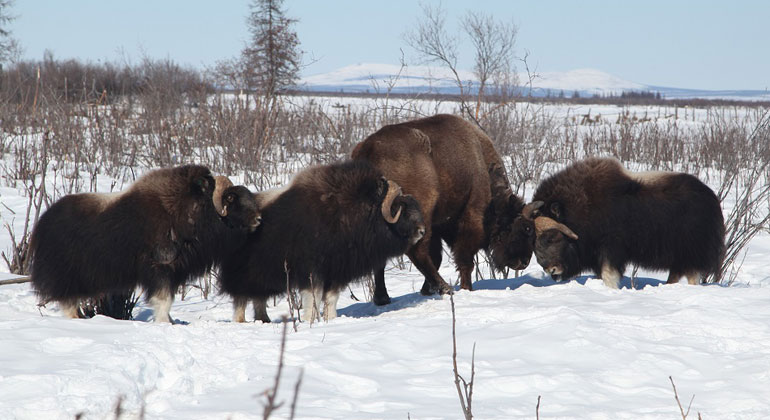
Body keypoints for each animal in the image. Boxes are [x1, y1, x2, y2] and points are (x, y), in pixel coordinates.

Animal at [30, 165, 260, 322]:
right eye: (231, 199)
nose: (258, 219)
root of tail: (42, 224)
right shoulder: (160, 266)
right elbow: (163, 299)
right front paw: (164, 322)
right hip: (66, 276)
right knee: (67, 301)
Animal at [352, 113, 536, 304]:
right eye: (524, 228)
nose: (524, 261)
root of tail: (370, 150)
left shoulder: (437, 227)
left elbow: (438, 257)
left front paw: (426, 290)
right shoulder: (470, 218)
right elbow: (464, 260)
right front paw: (466, 288)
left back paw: (383, 298)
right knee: (416, 250)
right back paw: (445, 289)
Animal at [532, 158, 724, 288]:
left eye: (551, 237)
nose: (550, 270)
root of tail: (711, 197)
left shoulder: (611, 247)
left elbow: (608, 274)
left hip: (691, 251)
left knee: (692, 275)